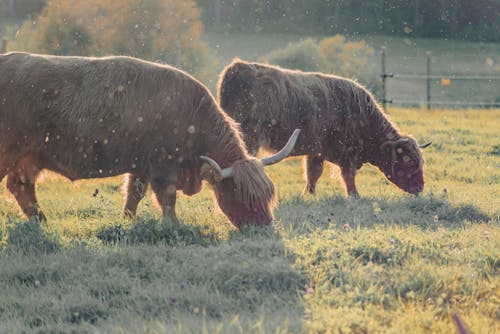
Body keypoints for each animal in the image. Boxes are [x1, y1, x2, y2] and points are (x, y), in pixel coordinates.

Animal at [0, 52, 298, 228]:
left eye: (268, 194)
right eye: (240, 193)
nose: (265, 225)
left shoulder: (140, 164)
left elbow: (134, 193)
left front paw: (127, 221)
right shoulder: (163, 165)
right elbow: (167, 197)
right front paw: (173, 225)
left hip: (29, 156)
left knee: (21, 186)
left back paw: (42, 221)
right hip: (9, 150)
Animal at [217, 59, 432, 196]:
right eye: (408, 161)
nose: (420, 188)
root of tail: (237, 67)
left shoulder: (316, 151)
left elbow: (312, 174)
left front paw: (309, 194)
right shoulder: (347, 154)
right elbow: (347, 177)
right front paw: (354, 195)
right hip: (248, 136)